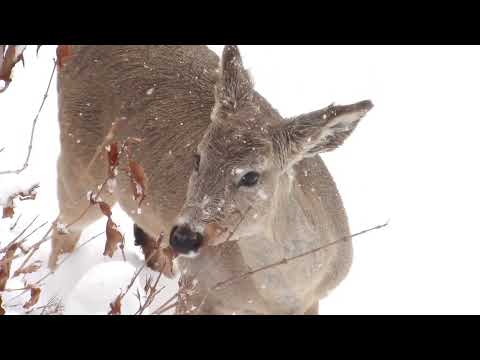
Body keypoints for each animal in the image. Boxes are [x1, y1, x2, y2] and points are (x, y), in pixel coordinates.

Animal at [51, 45, 376, 316]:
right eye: (198, 157)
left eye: (251, 176)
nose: (184, 237)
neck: (277, 295)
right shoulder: (198, 287)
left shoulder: (312, 302)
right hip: (83, 164)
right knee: (63, 227)